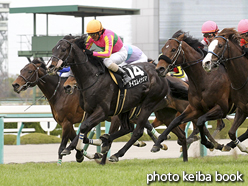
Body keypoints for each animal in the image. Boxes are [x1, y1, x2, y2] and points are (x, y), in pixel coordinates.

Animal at [46, 34, 189, 162]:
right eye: (53, 49)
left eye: (63, 49)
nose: (51, 66)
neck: (93, 77)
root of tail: (161, 74)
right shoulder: (88, 110)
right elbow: (83, 129)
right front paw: (76, 149)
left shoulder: (102, 111)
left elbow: (85, 127)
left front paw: (81, 152)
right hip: (133, 108)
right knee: (129, 128)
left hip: (148, 105)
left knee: (137, 131)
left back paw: (117, 153)